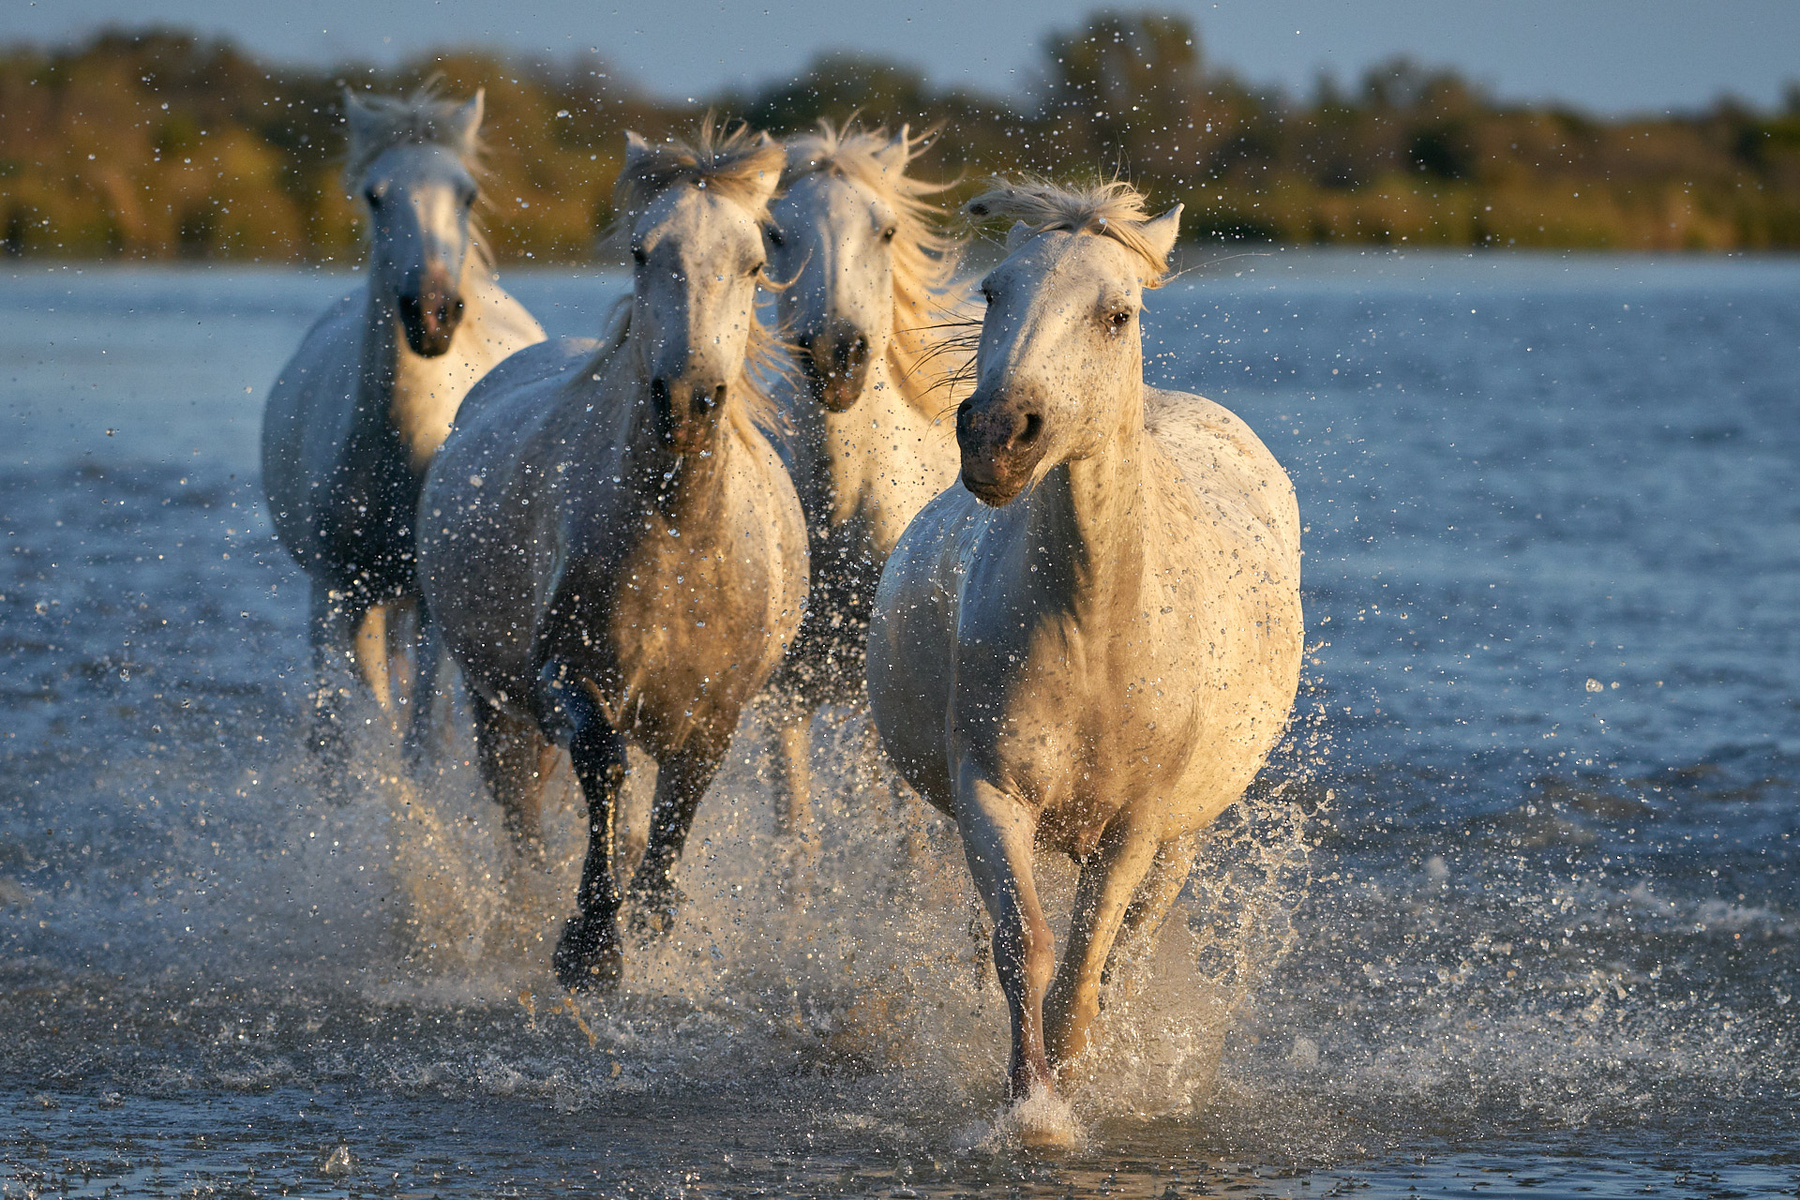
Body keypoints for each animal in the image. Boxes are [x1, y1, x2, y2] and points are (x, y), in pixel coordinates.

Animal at [262, 87, 545, 777]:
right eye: (373, 195)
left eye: (467, 194)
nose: (433, 314)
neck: (400, 451)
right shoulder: (341, 592)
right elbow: (354, 735)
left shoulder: (433, 610)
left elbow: (419, 739)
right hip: (361, 600)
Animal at [415, 122, 806, 991]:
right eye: (639, 251)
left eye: (753, 262)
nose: (687, 401)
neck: (681, 542)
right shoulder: (571, 674)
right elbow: (603, 770)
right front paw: (590, 948)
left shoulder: (713, 712)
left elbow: (674, 814)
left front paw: (654, 927)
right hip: (496, 701)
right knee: (522, 818)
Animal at [761, 120, 971, 834]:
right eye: (774, 234)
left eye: (885, 230)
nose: (837, 356)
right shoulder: (787, 700)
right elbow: (795, 836)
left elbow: (906, 844)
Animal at [865, 180, 1303, 1127]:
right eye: (993, 291)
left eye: (1117, 313)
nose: (998, 434)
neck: (1097, 630)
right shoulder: (992, 792)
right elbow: (1023, 949)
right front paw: (1032, 1107)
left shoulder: (1136, 823)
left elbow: (1083, 976)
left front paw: (1071, 1094)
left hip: (1183, 835)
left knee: (1130, 949)